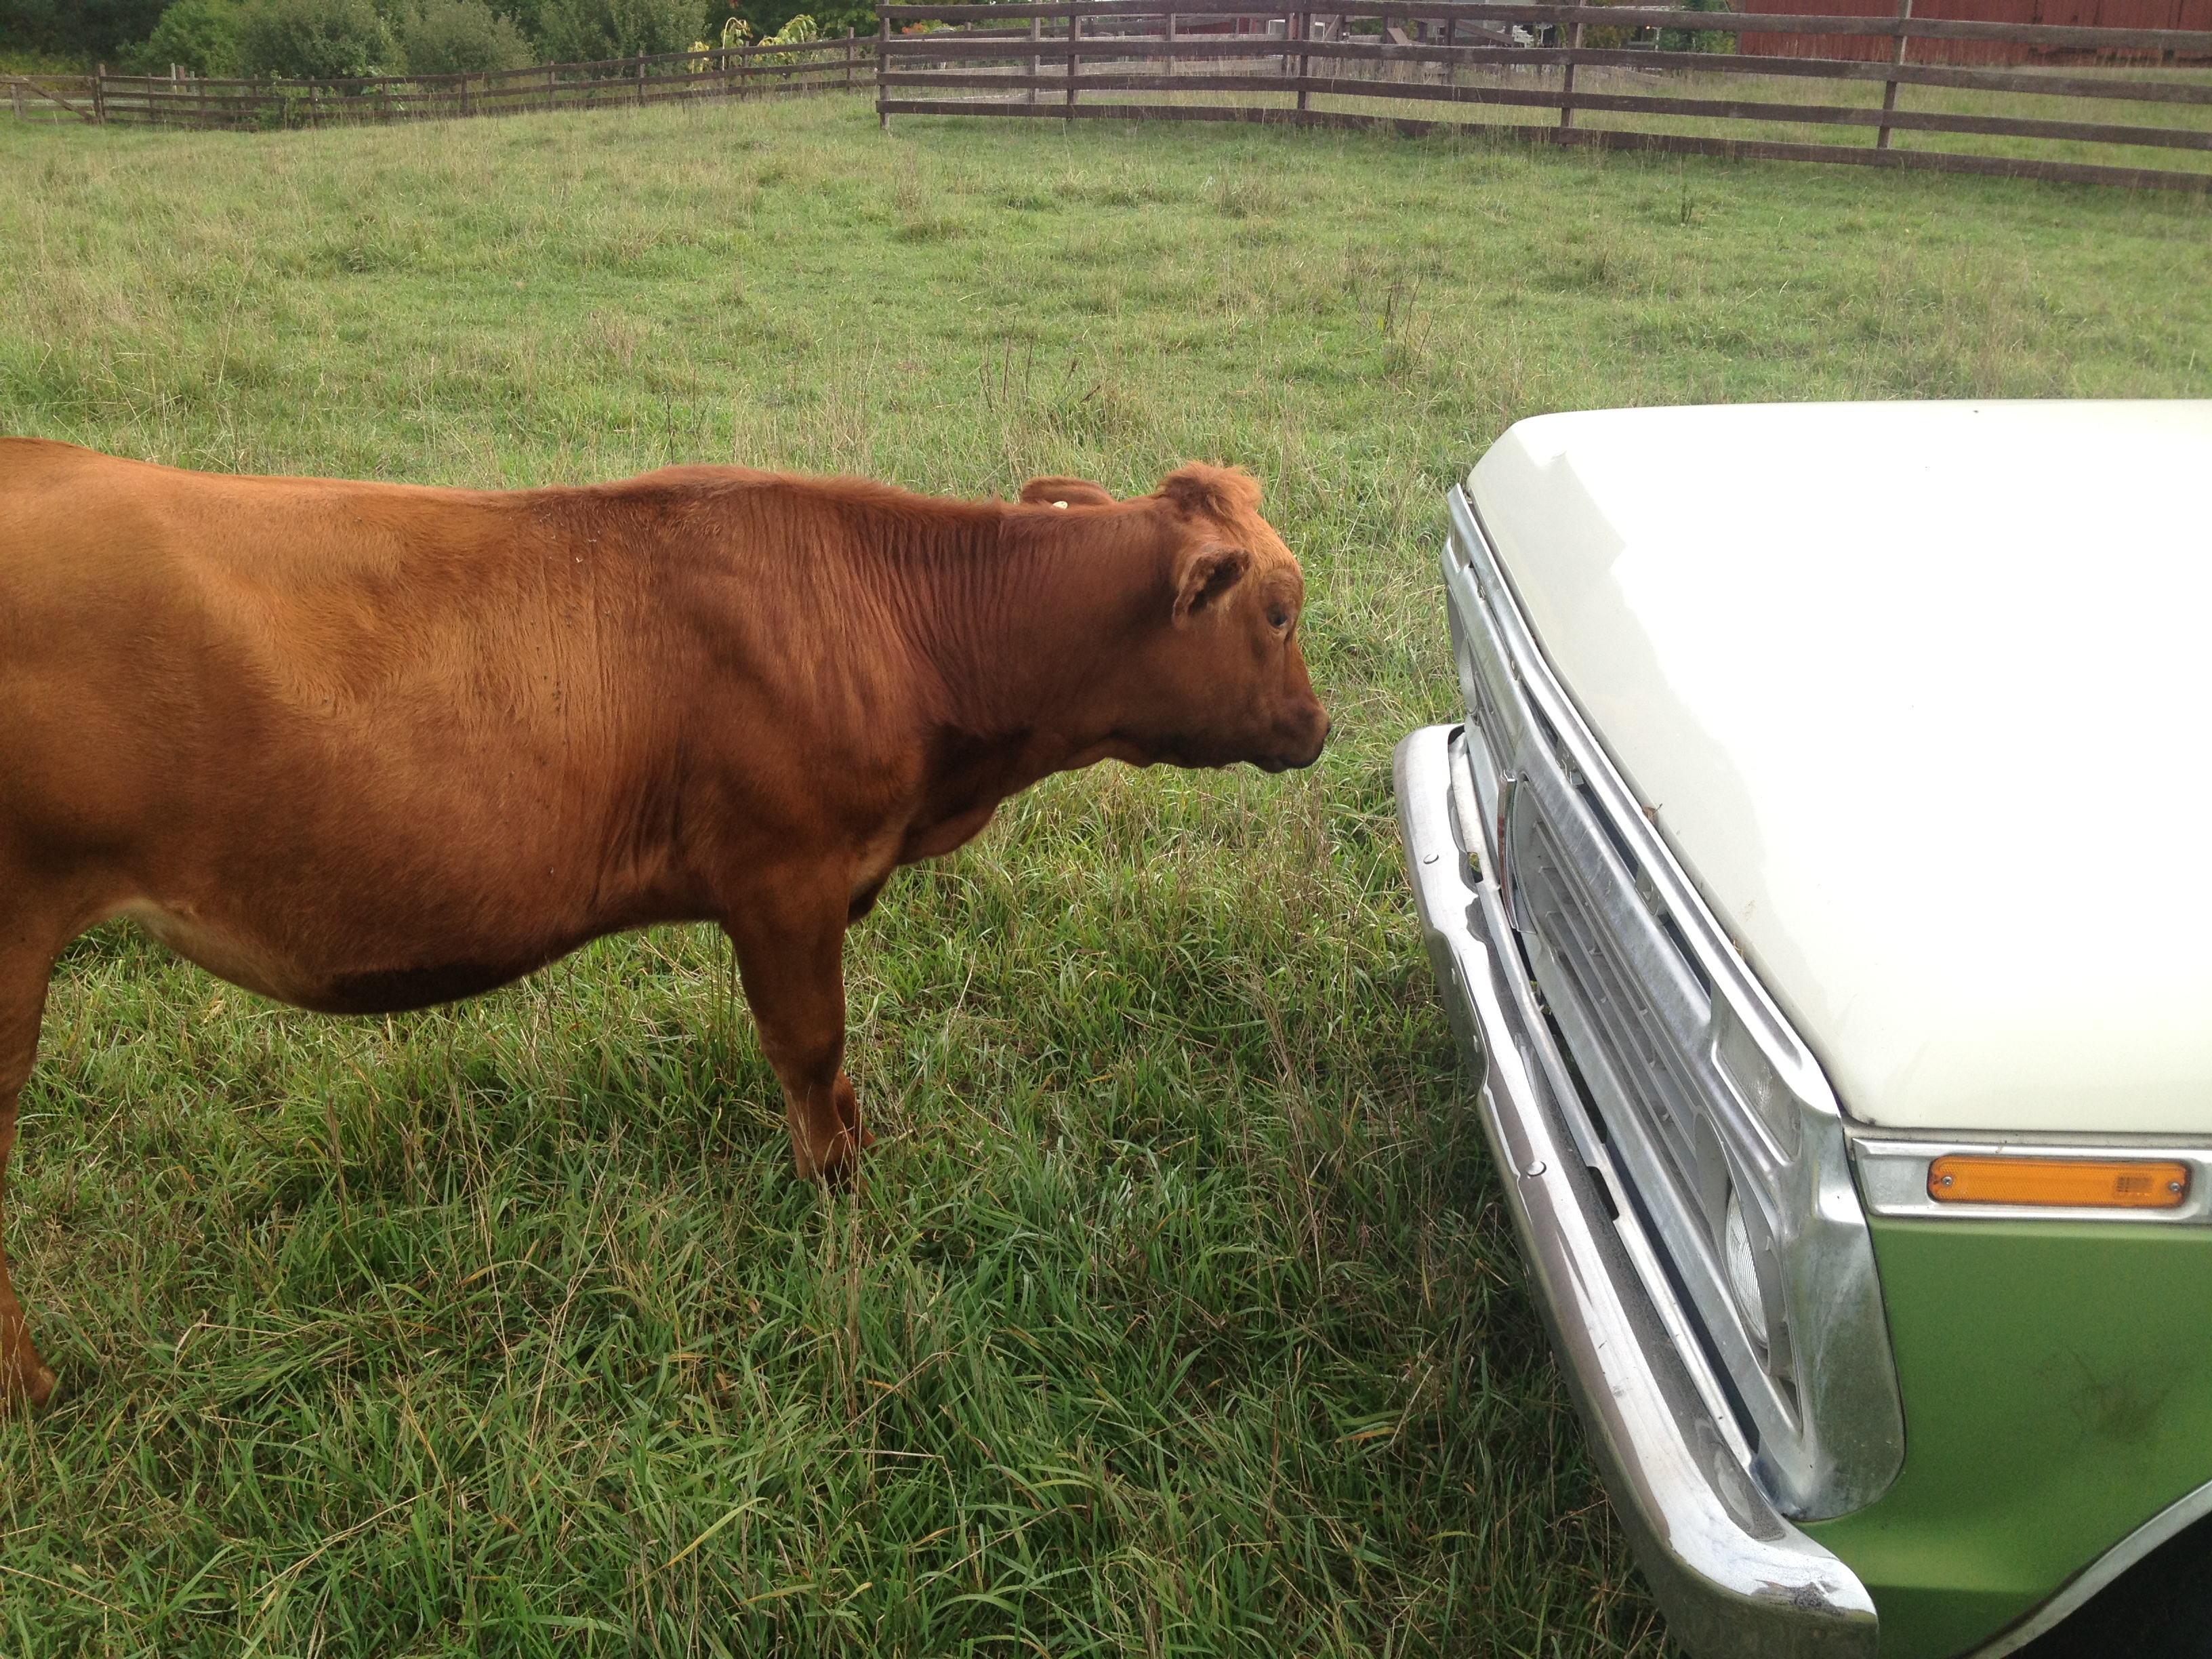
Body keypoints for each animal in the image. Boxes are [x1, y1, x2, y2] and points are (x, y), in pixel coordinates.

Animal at [0, 439, 1329, 1407]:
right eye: (1278, 609)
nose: (1319, 727)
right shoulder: (784, 879)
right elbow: (811, 1051)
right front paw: (838, 1197)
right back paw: (34, 1388)